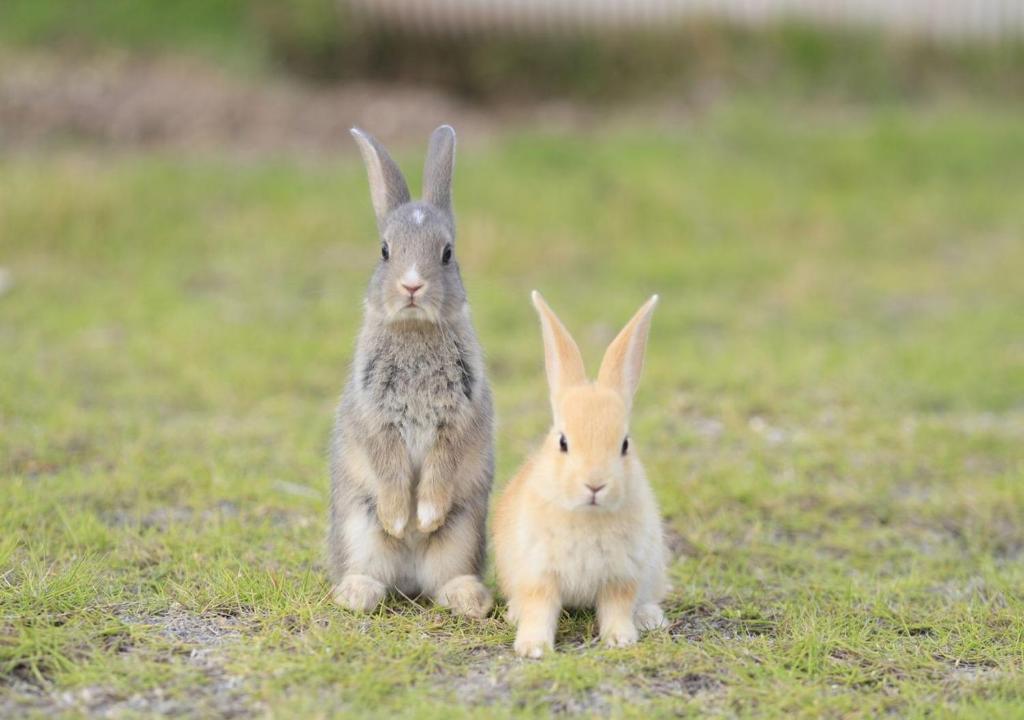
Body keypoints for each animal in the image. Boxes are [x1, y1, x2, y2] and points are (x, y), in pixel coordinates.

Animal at [323, 125, 491, 618]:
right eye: (384, 251)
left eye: (447, 253)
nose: (412, 285)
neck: (415, 330)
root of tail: (410, 578)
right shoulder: (377, 417)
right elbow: (389, 465)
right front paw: (400, 520)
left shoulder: (459, 418)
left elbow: (441, 466)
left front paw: (426, 516)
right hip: (358, 529)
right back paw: (356, 593)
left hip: (464, 531)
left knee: (444, 580)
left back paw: (470, 599)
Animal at [491, 290, 667, 659]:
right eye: (563, 442)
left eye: (625, 444)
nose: (595, 484)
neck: (587, 515)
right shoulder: (538, 573)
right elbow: (539, 609)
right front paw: (533, 648)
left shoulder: (621, 576)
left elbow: (617, 608)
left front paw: (621, 639)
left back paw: (649, 618)